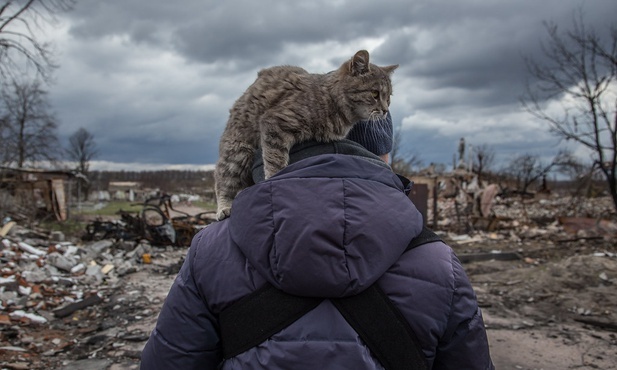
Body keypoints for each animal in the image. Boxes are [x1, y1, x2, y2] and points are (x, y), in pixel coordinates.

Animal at [213, 50, 394, 221]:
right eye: (375, 93)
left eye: (389, 97)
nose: (385, 110)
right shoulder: (275, 121)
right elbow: (275, 162)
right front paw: (273, 179)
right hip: (238, 152)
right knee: (222, 181)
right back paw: (223, 208)